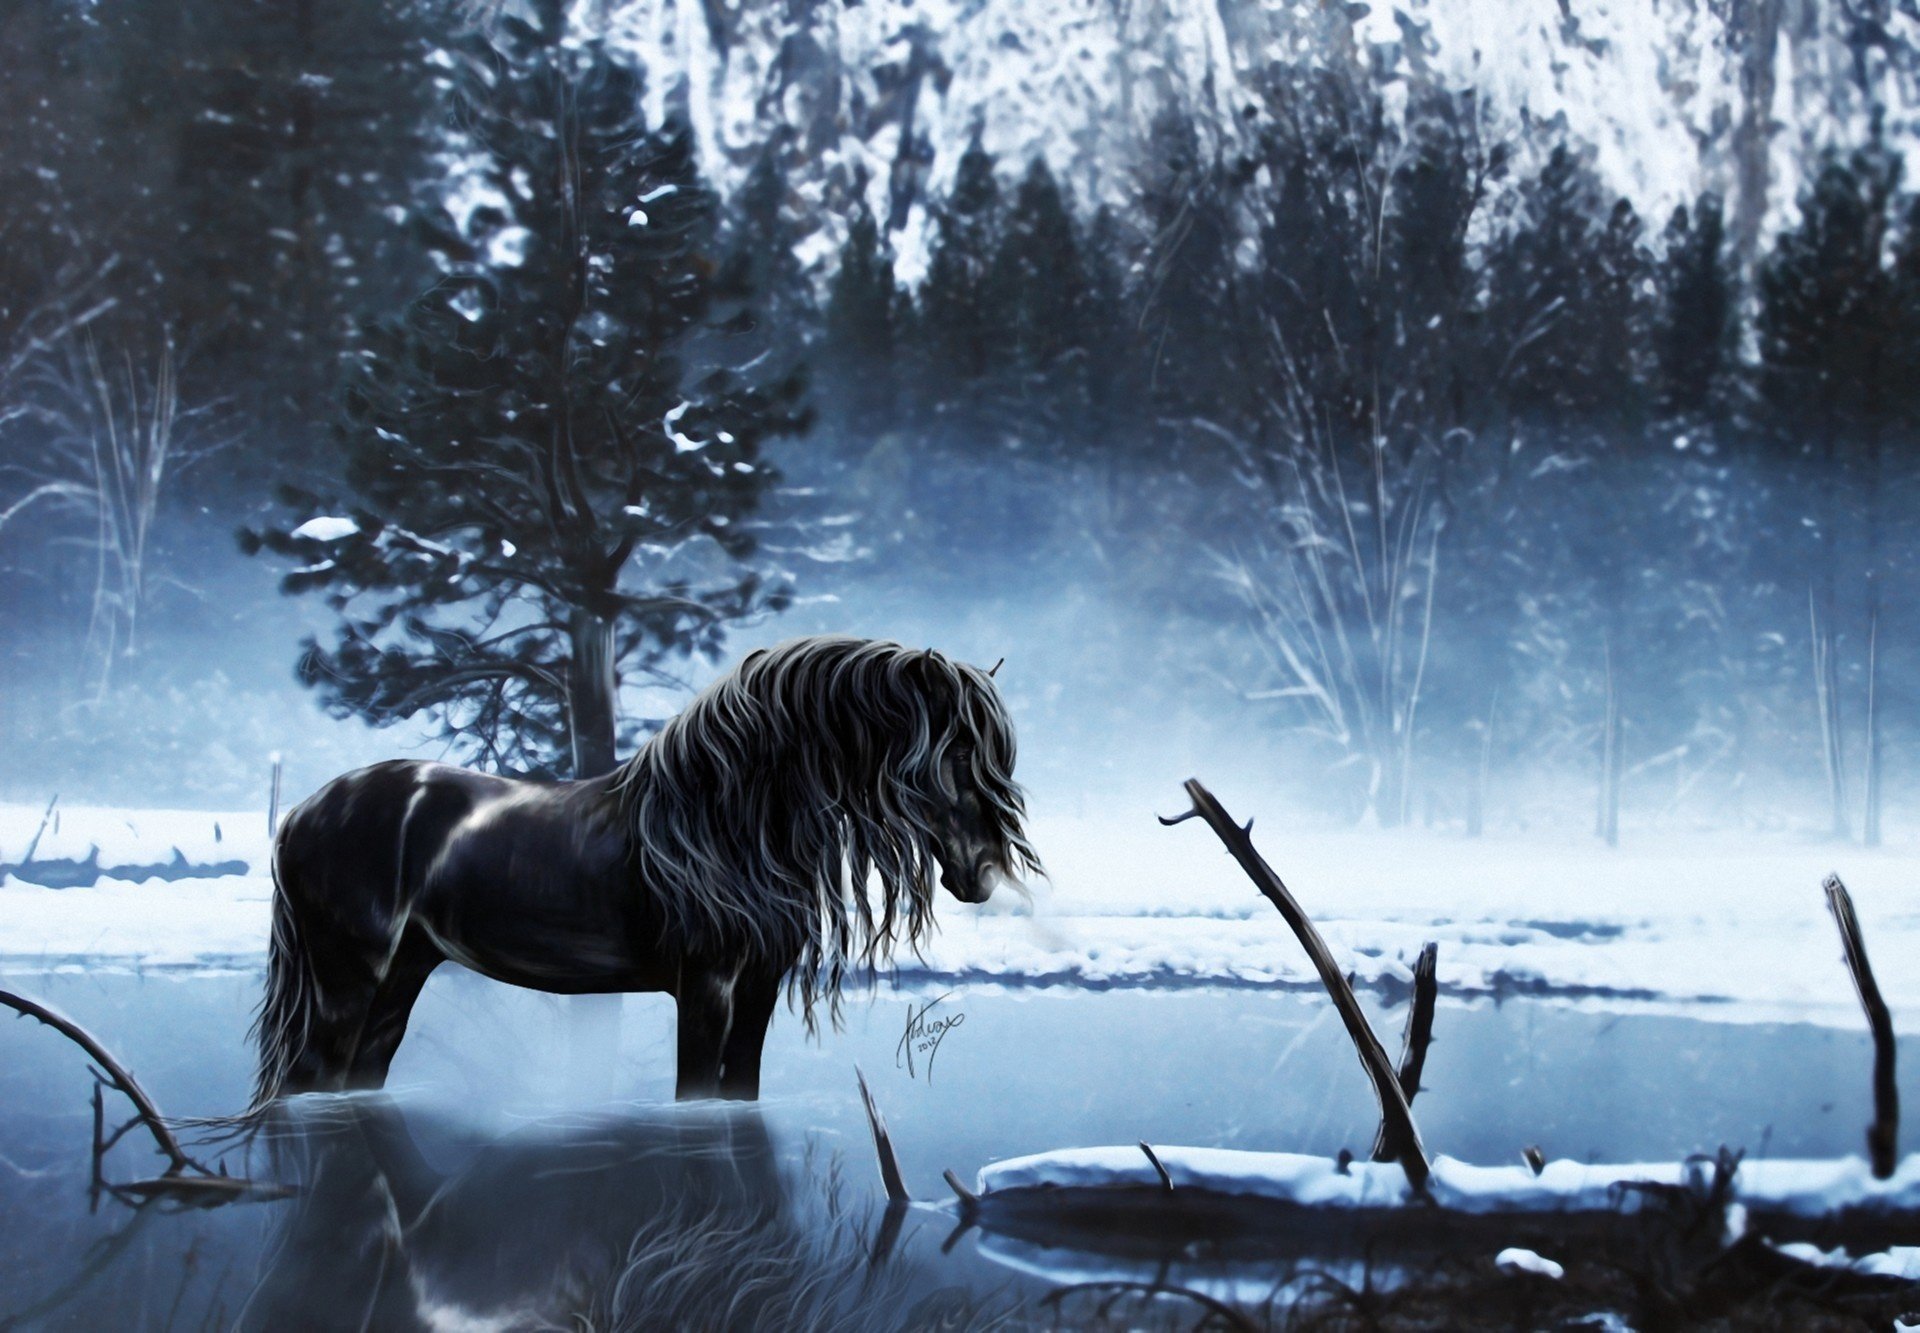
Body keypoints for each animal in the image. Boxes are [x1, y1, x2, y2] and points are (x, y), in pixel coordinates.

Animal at [251, 635, 1040, 1106]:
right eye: (950, 755)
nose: (981, 874)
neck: (725, 824)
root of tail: (302, 813)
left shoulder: (758, 988)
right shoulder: (707, 988)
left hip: (401, 976)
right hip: (347, 980)